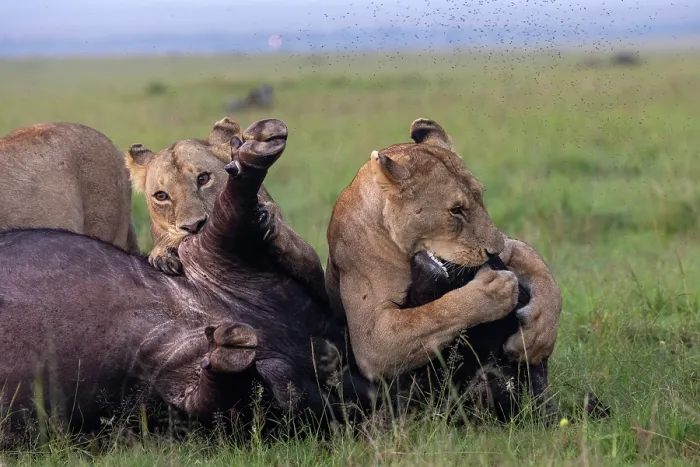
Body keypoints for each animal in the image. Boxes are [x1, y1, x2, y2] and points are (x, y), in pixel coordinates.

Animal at [125, 117, 327, 303]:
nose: (193, 227)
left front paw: (265, 218)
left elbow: (294, 245)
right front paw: (162, 254)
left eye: (203, 178)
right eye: (161, 196)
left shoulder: (314, 269)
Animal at [325, 118, 562, 384]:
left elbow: (538, 269)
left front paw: (539, 334)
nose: (494, 252)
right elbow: (434, 314)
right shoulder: (373, 340)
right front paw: (494, 290)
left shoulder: (505, 245)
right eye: (456, 210)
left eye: (480, 196)